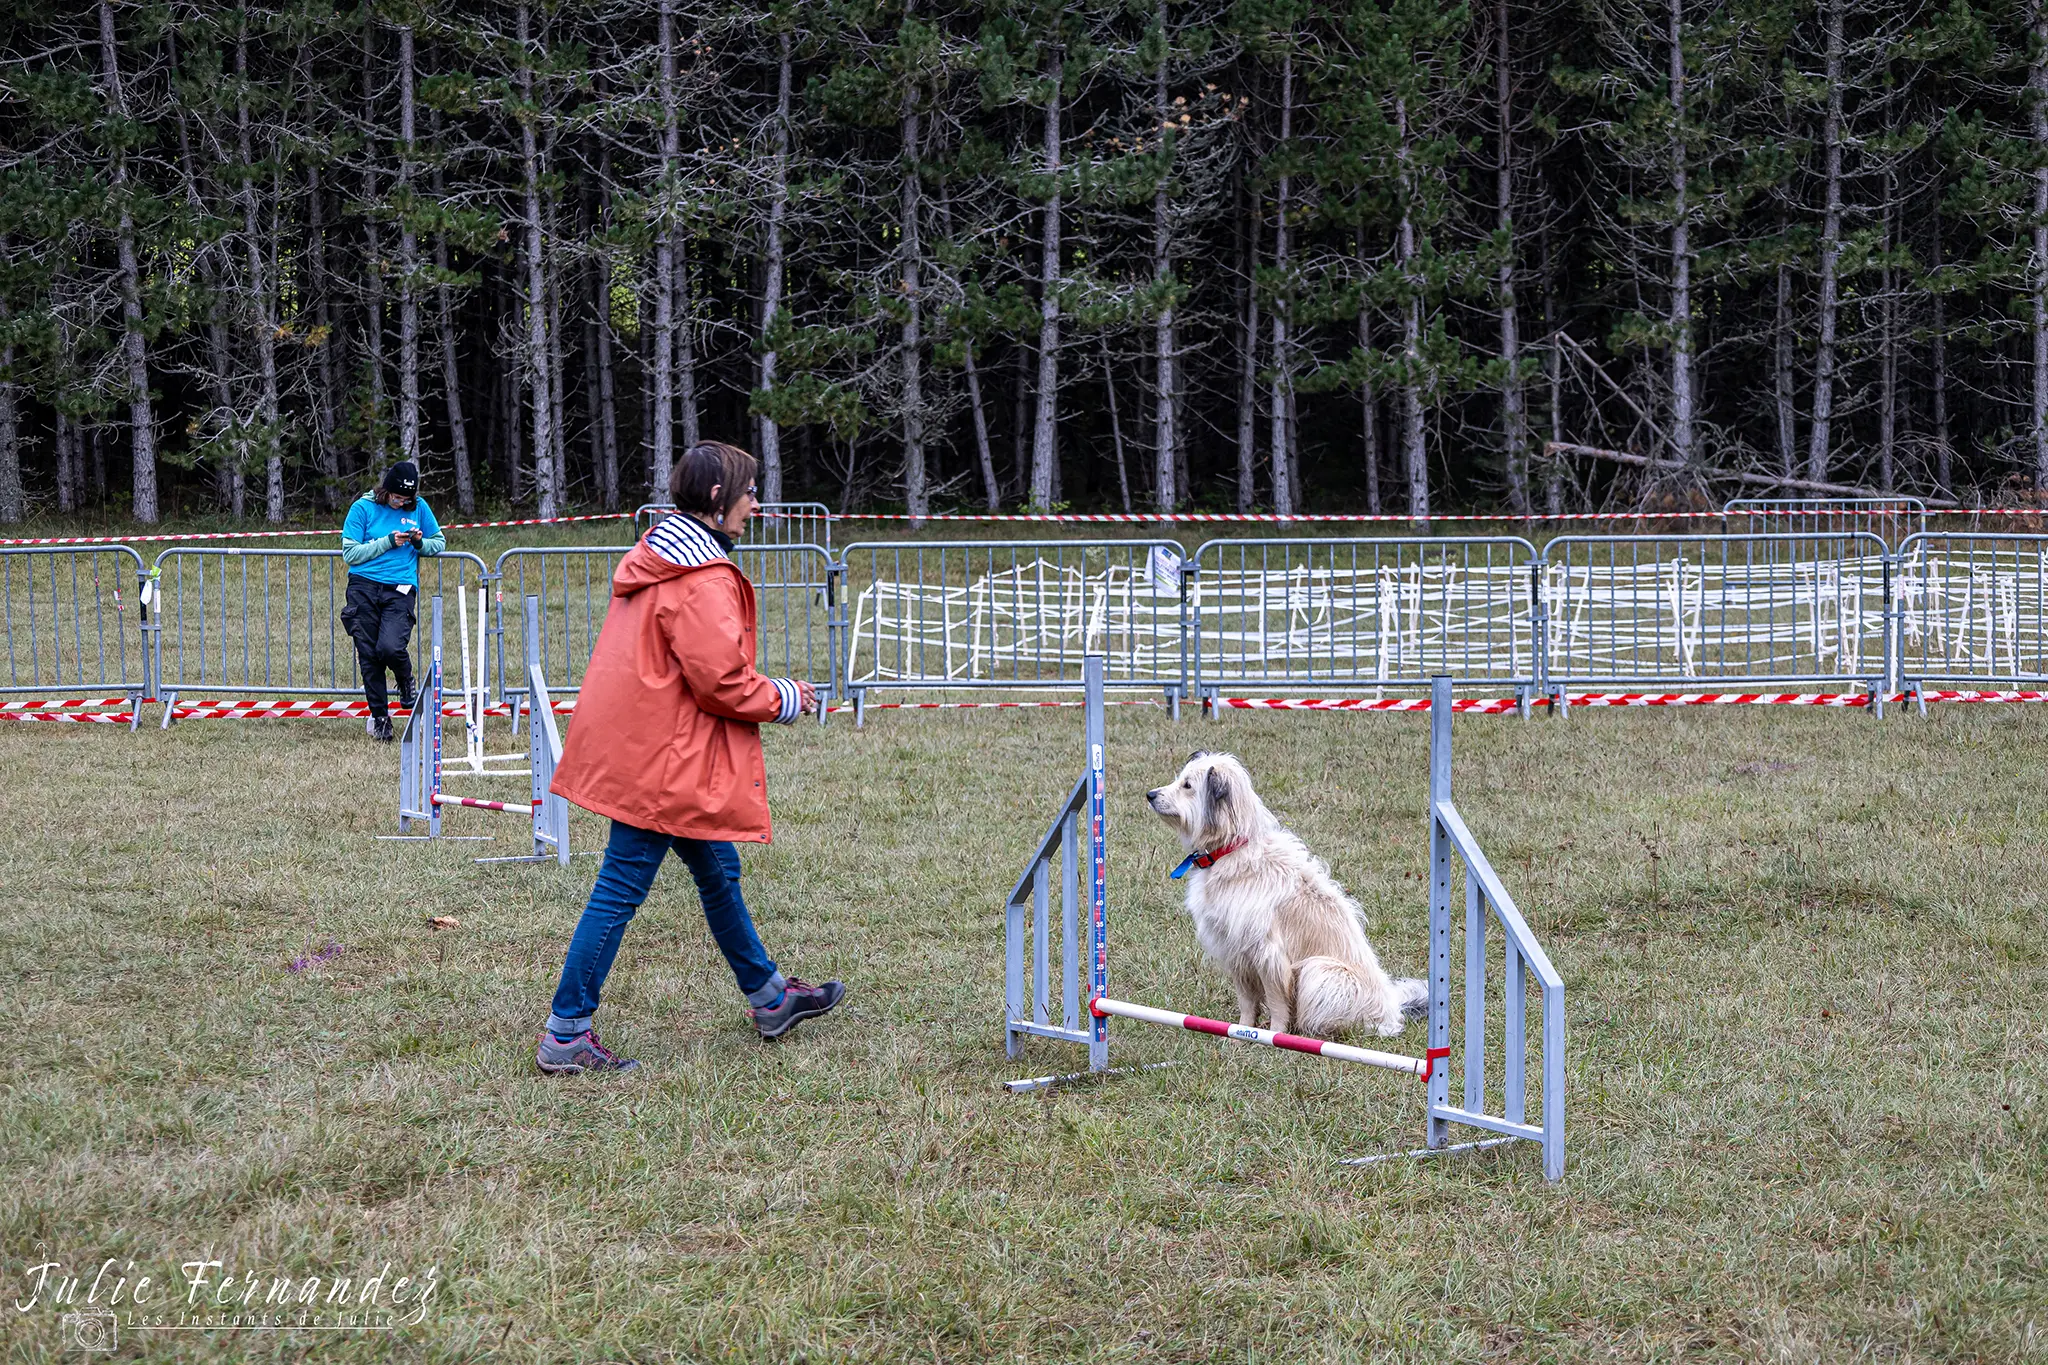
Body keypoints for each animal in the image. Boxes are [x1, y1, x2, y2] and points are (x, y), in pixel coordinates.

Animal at [1155, 757, 1425, 1035]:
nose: (1150, 795)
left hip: (1319, 971)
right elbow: (1247, 1002)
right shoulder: (1234, 950)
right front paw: (1239, 1034)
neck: (1233, 849)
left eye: (1187, 785)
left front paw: (1273, 1034)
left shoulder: (1268, 955)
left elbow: (1276, 1003)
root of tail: (1392, 1013)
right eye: (1180, 779)